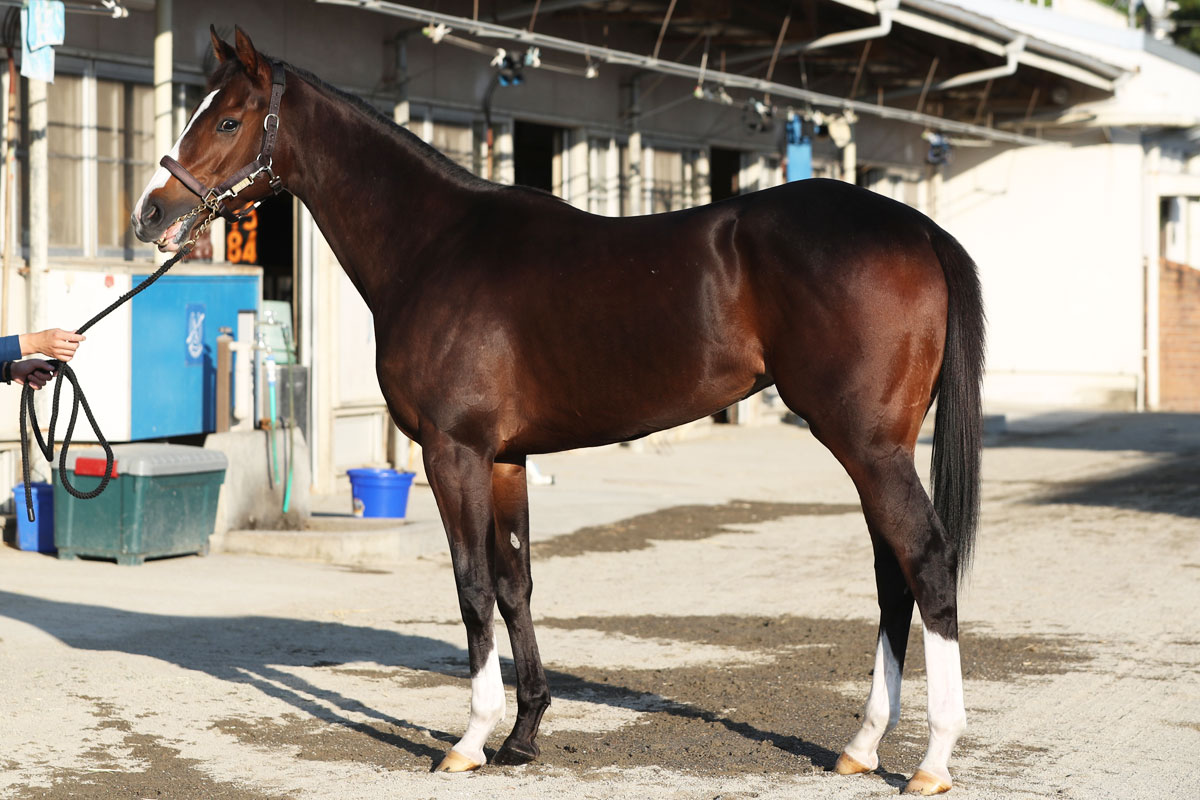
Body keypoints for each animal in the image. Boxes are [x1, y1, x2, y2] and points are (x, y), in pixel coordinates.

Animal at [132, 28, 984, 796]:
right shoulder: (506, 458)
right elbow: (516, 584)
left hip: (865, 443)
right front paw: (524, 734)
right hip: (877, 445)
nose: (150, 213)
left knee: (926, 562)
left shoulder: (453, 451)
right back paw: (861, 747)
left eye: (228, 120)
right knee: (892, 575)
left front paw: (470, 740)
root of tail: (918, 227)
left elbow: (471, 584)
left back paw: (933, 760)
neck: (433, 246)